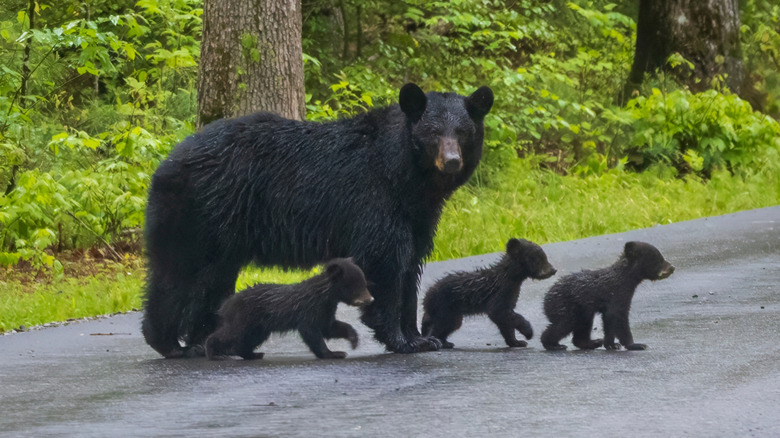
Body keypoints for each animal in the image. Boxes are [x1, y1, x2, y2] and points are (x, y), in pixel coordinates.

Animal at [204, 258, 374, 362]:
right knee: (231, 334)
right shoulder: (308, 309)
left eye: (364, 283)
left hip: (259, 326)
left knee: (248, 339)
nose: (370, 299)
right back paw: (214, 352)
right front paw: (332, 353)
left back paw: (253, 354)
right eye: (356, 286)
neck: (324, 295)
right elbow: (311, 332)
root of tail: (226, 304)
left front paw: (353, 340)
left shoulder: (326, 310)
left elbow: (330, 327)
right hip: (244, 318)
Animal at [424, 240, 556, 350]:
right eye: (538, 259)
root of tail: (427, 296)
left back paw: (445, 342)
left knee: (451, 324)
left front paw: (516, 342)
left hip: (453, 312)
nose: (553, 270)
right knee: (441, 324)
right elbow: (498, 312)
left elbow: (505, 321)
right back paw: (436, 341)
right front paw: (528, 332)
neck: (511, 278)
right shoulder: (501, 292)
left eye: (544, 256)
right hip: (444, 307)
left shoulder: (510, 295)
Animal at [540, 241, 672, 350]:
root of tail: (546, 298)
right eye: (659, 259)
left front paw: (612, 344)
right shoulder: (618, 293)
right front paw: (636, 344)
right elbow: (617, 316)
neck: (625, 278)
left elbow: (609, 319)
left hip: (582, 310)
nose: (672, 267)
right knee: (564, 323)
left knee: (583, 324)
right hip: (563, 305)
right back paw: (553, 345)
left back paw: (592, 342)